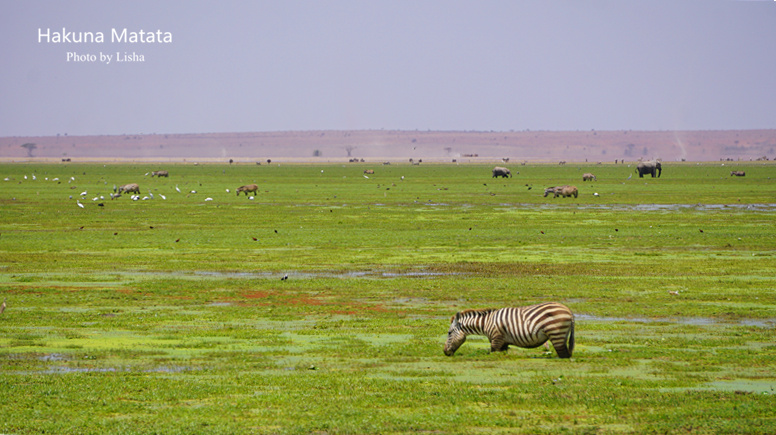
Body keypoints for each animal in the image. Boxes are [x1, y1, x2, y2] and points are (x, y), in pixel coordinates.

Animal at [442, 302, 576, 360]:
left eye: (449, 333)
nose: (445, 352)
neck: (486, 323)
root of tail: (569, 311)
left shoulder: (496, 340)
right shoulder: (504, 343)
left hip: (557, 335)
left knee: (564, 355)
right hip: (562, 336)